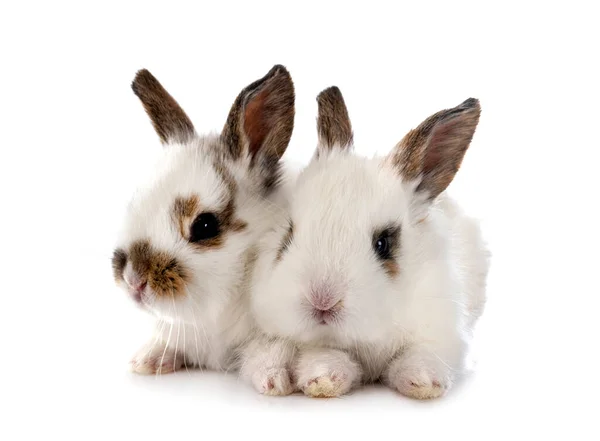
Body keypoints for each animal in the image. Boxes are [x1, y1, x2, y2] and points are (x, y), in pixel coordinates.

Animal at [109, 62, 298, 396]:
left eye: (204, 225)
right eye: (134, 204)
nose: (133, 280)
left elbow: (270, 350)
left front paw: (274, 379)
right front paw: (147, 360)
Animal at [248, 87, 488, 398]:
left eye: (383, 243)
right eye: (289, 233)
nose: (322, 300)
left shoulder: (443, 332)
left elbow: (422, 354)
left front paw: (424, 382)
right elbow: (324, 354)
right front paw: (324, 379)